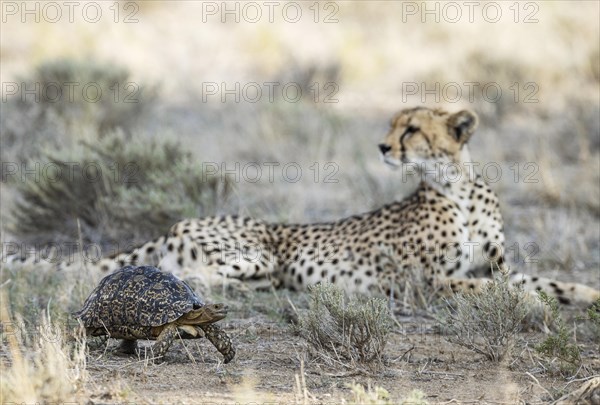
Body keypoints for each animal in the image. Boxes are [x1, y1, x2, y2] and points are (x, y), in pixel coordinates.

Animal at [5, 107, 600, 304]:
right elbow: (494, 289)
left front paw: (583, 294)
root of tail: (180, 219)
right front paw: (534, 304)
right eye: (392, 125)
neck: (457, 186)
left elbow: (538, 279)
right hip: (258, 252)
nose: (383, 146)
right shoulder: (426, 281)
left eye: (410, 128)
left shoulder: (493, 264)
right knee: (196, 277)